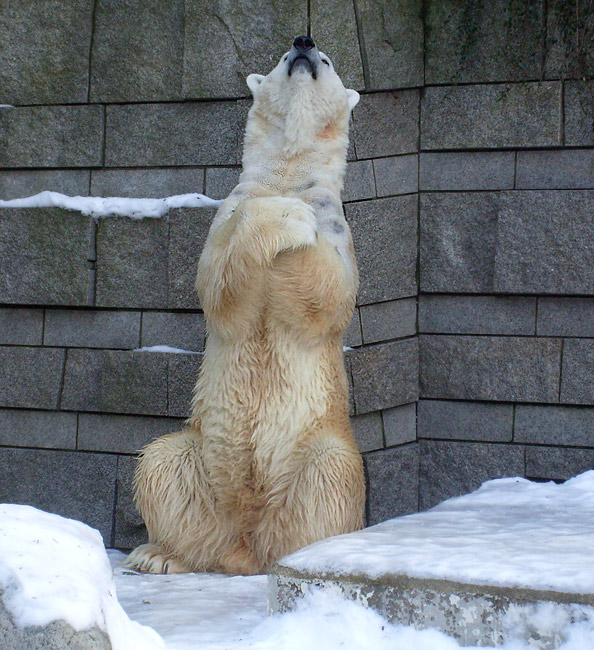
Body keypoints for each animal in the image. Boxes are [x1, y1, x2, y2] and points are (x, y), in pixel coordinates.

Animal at [124, 35, 364, 572]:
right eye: (282, 57)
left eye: (328, 60)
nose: (303, 41)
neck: (288, 172)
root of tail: (246, 545)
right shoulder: (227, 215)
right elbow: (220, 285)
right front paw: (279, 215)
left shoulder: (337, 228)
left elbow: (325, 295)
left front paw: (294, 219)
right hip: (199, 460)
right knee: (161, 461)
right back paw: (160, 554)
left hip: (318, 449)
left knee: (330, 476)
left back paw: (304, 555)